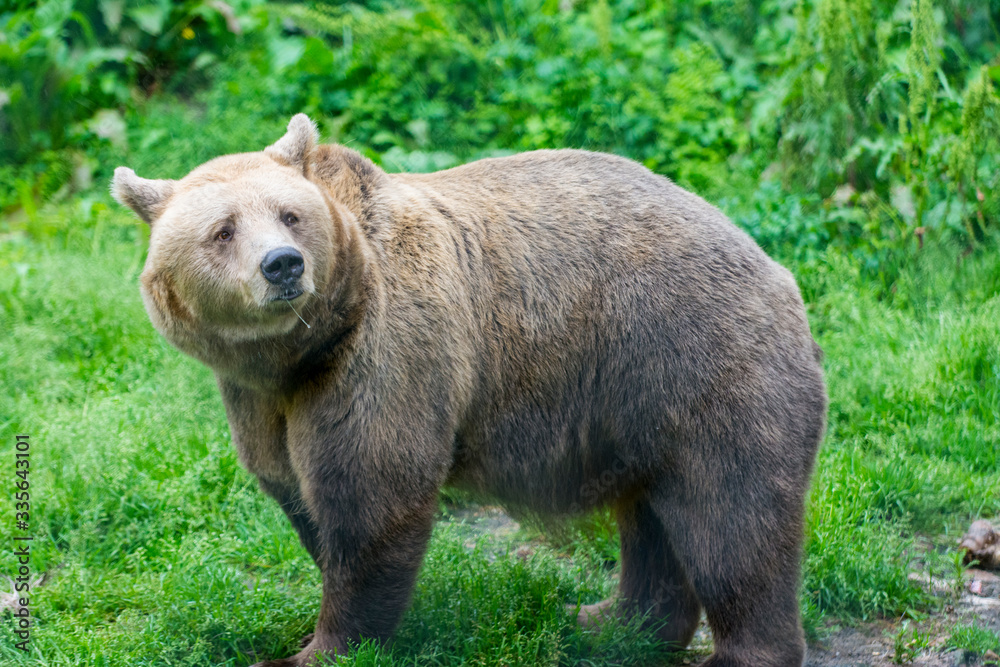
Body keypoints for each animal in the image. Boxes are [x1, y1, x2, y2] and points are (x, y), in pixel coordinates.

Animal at [112, 114, 827, 667]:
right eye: (223, 229)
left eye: (289, 214)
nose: (283, 265)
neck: (301, 351)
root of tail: (774, 268)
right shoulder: (263, 400)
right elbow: (298, 490)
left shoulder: (387, 356)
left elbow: (371, 496)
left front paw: (317, 648)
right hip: (638, 406)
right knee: (653, 519)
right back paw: (612, 623)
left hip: (697, 363)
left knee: (733, 520)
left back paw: (734, 649)